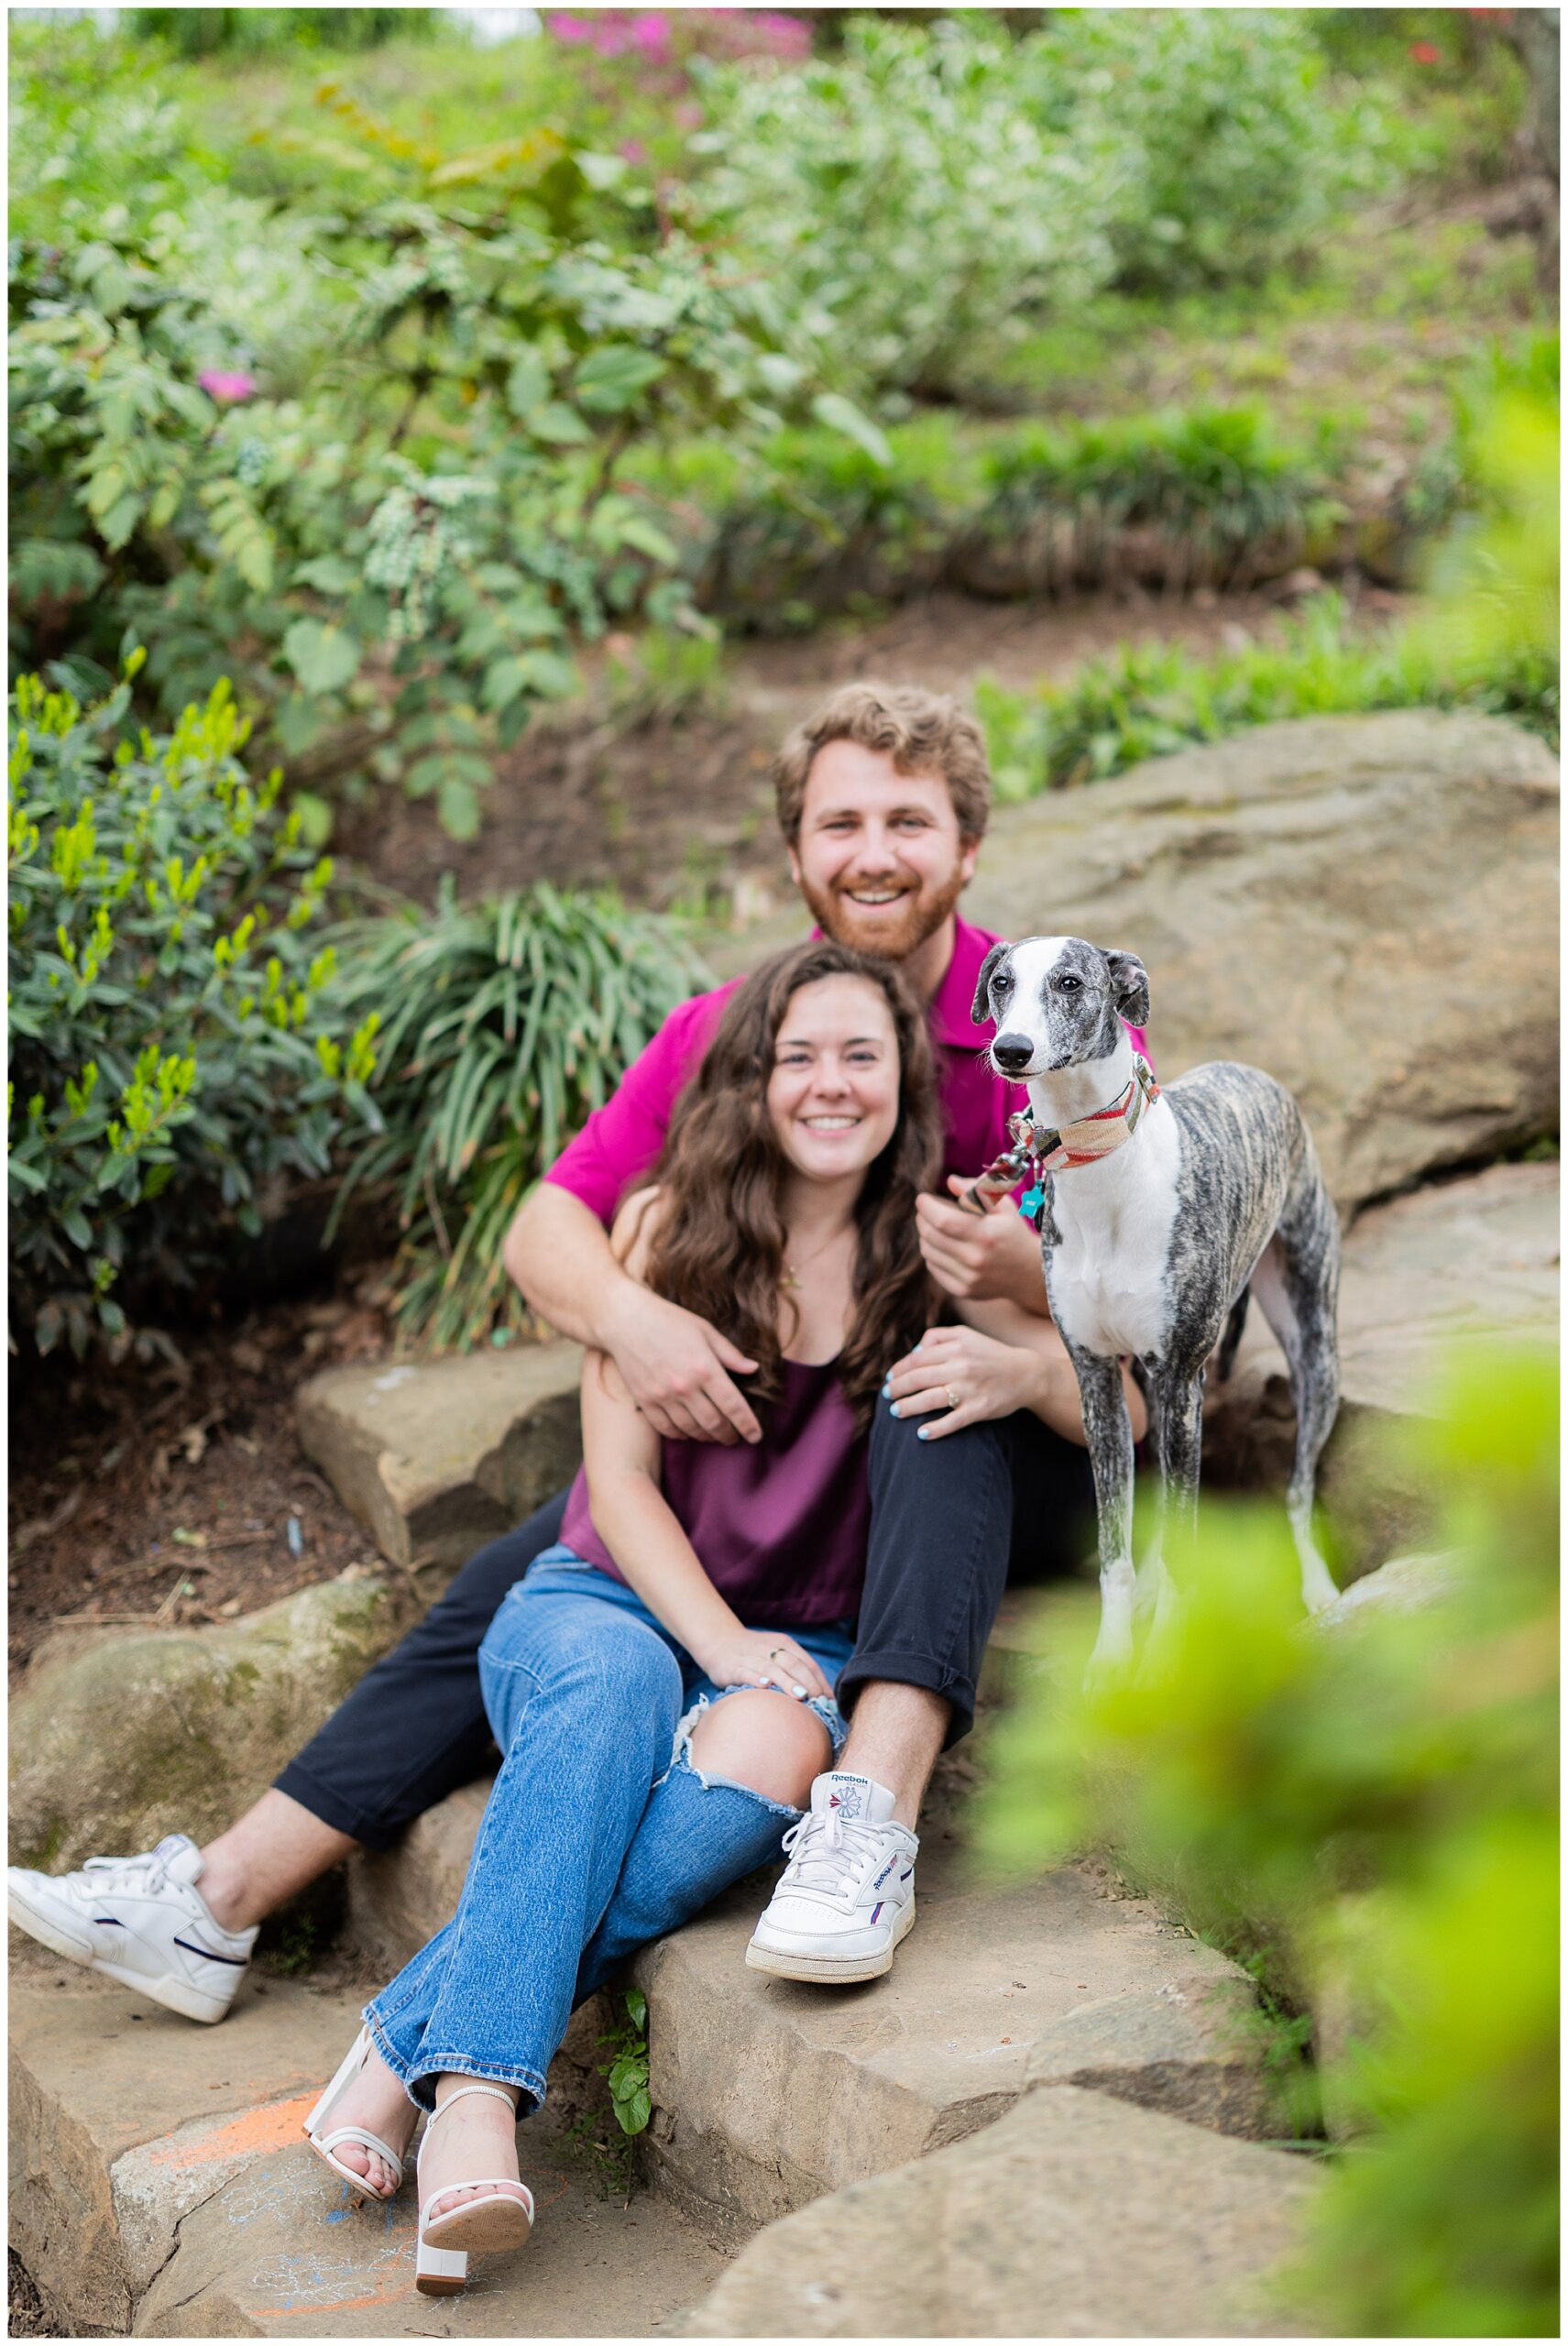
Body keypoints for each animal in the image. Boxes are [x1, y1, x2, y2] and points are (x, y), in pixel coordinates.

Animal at [972, 934, 1341, 1671]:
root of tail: (1254, 1074)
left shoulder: (1180, 1386)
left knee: (1296, 1488)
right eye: (1001, 982)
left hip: (1315, 1354)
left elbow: (1182, 1536)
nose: (1012, 1050)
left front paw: (1170, 1654)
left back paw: (1318, 1589)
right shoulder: (1096, 1381)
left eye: (1069, 982)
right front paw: (1111, 1660)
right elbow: (1115, 1544)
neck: (1103, 1175)